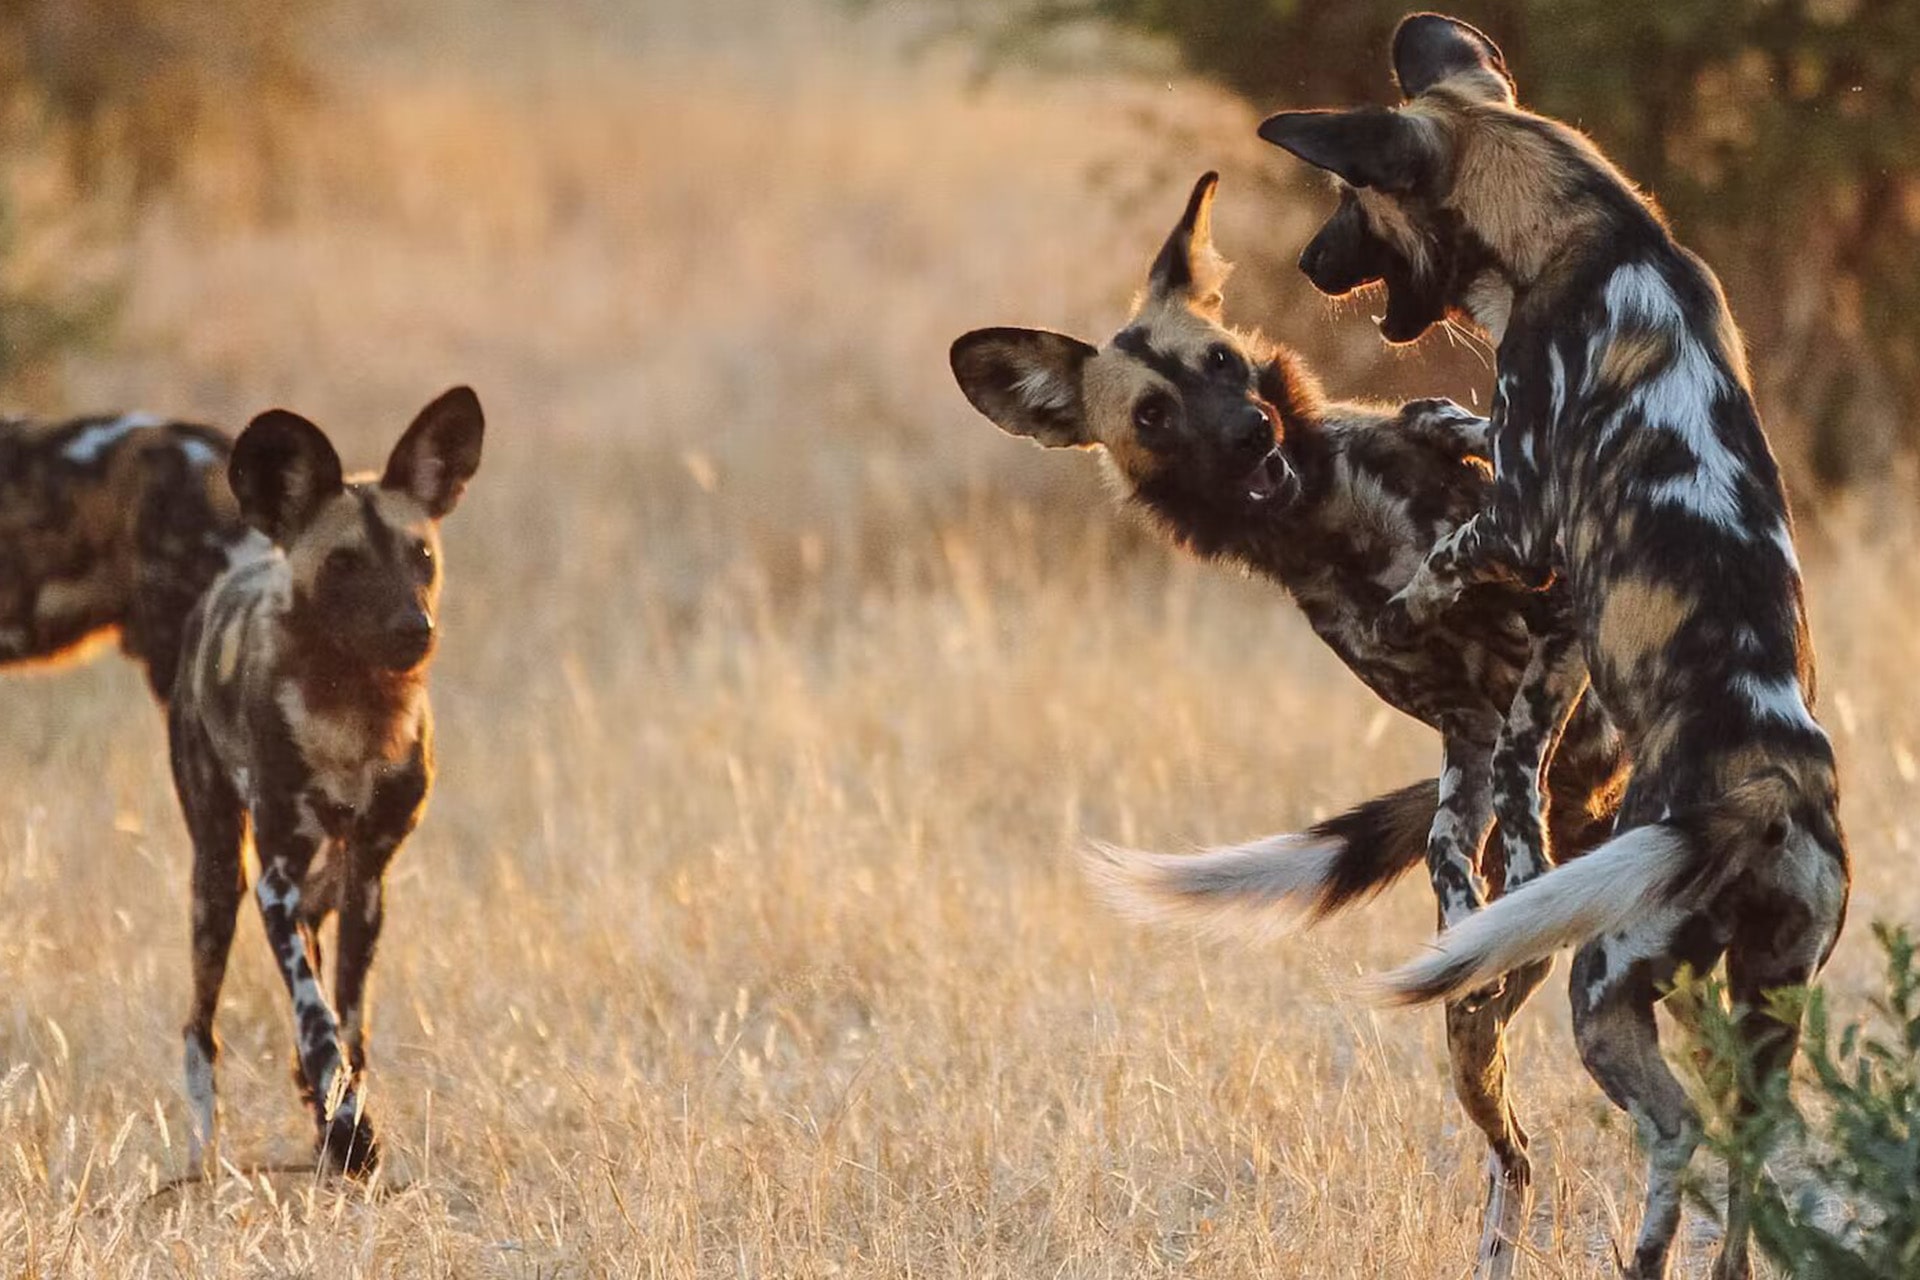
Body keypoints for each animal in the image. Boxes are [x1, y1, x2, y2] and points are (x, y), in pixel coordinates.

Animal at [169, 391, 483, 1182]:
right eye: (344, 563)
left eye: (420, 556)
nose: (413, 628)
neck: (355, 717)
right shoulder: (274, 881)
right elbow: (317, 1019)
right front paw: (350, 1135)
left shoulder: (368, 879)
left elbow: (349, 1026)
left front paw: (343, 1125)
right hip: (218, 880)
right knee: (198, 1030)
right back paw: (202, 1159)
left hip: (325, 881)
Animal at [944, 172, 1620, 1280]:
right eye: (1155, 413)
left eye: (1220, 361)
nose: (1250, 432)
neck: (1333, 522)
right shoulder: (1468, 727)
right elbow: (1464, 824)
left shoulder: (1550, 625)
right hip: (1476, 1022)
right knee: (1509, 1139)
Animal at [1259, 14, 1843, 1274]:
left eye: (1349, 202)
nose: (1310, 263)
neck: (1593, 229)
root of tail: (1767, 782)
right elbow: (1466, 425)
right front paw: (1435, 414)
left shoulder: (1528, 513)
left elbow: (1446, 551)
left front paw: (1400, 603)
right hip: (1760, 1015)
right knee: (1748, 1153)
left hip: (1604, 978)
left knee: (1671, 1129)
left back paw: (1643, 1250)